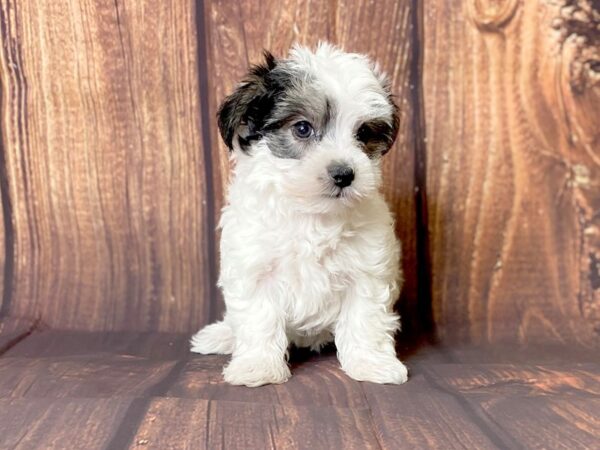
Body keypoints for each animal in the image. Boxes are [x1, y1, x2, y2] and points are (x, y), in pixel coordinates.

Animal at [192, 43, 408, 386]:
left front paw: (371, 363)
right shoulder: (255, 267)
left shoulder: (366, 271)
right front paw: (258, 366)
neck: (312, 212)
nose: (344, 174)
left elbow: (365, 318)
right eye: (302, 128)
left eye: (363, 133)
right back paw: (222, 336)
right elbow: (258, 319)